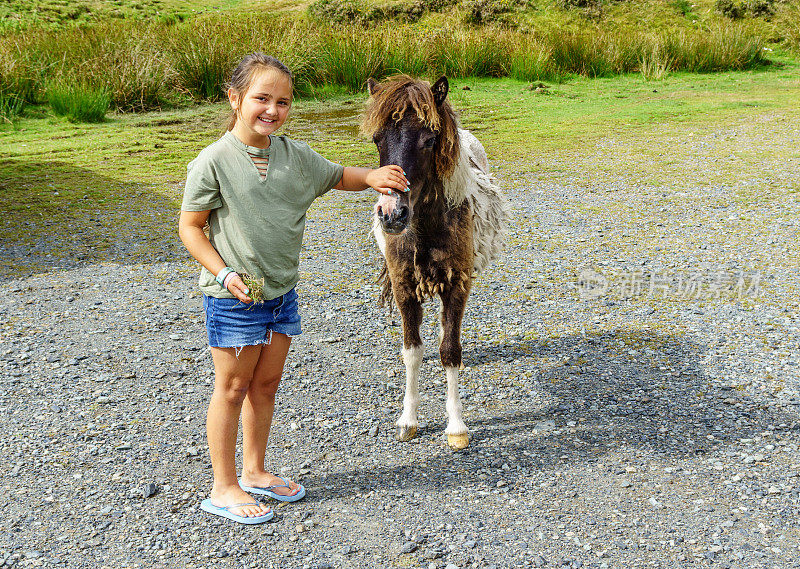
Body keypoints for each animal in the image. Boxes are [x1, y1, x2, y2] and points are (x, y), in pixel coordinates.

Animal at [364, 74, 510, 448]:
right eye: (376, 138)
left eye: (429, 140)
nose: (392, 214)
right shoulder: (404, 287)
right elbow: (412, 351)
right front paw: (408, 420)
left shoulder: (456, 285)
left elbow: (450, 351)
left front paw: (456, 427)